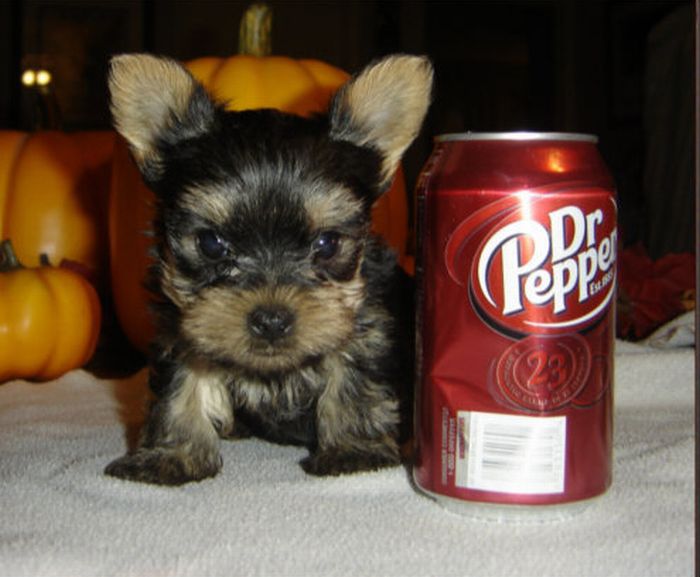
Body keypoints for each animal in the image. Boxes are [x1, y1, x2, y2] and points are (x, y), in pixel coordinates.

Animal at [105, 55, 432, 486]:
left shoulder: (367, 325)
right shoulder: (181, 329)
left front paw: (353, 452)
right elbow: (180, 389)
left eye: (327, 244)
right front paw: (170, 455)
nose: (272, 319)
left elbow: (353, 379)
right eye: (211, 243)